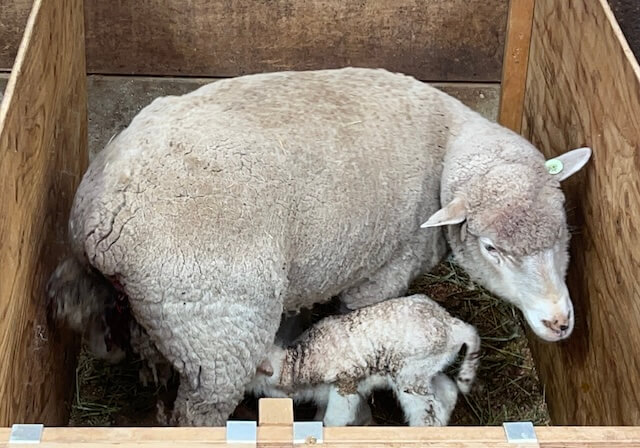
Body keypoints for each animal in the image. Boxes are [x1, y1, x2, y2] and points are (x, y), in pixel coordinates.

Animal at [245, 294, 480, 428]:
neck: (298, 364)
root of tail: (453, 326)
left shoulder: (345, 387)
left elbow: (334, 421)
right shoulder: (325, 394)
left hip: (409, 376)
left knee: (430, 413)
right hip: (426, 370)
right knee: (448, 391)